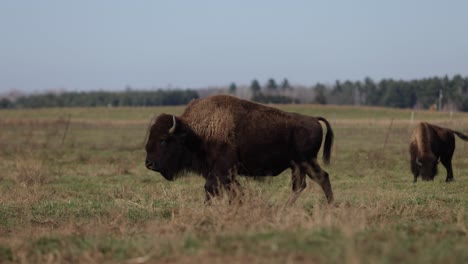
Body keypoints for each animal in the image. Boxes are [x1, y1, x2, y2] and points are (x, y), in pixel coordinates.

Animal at [144, 95, 334, 204]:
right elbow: (233, 191)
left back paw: (330, 206)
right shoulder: (222, 173)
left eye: (163, 140)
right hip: (297, 165)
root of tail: (313, 119)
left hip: (306, 161)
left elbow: (211, 189)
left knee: (322, 178)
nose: (149, 164)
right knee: (300, 185)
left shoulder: (221, 171)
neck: (196, 133)